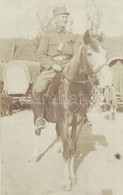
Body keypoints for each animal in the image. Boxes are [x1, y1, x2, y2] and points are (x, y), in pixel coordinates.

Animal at [32, 33, 106, 190]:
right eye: (89, 54)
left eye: (105, 53)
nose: (106, 79)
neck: (73, 89)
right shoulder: (64, 122)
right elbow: (67, 152)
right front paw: (66, 181)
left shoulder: (77, 123)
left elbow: (72, 148)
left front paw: (73, 176)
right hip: (36, 115)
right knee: (37, 131)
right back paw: (36, 155)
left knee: (58, 133)